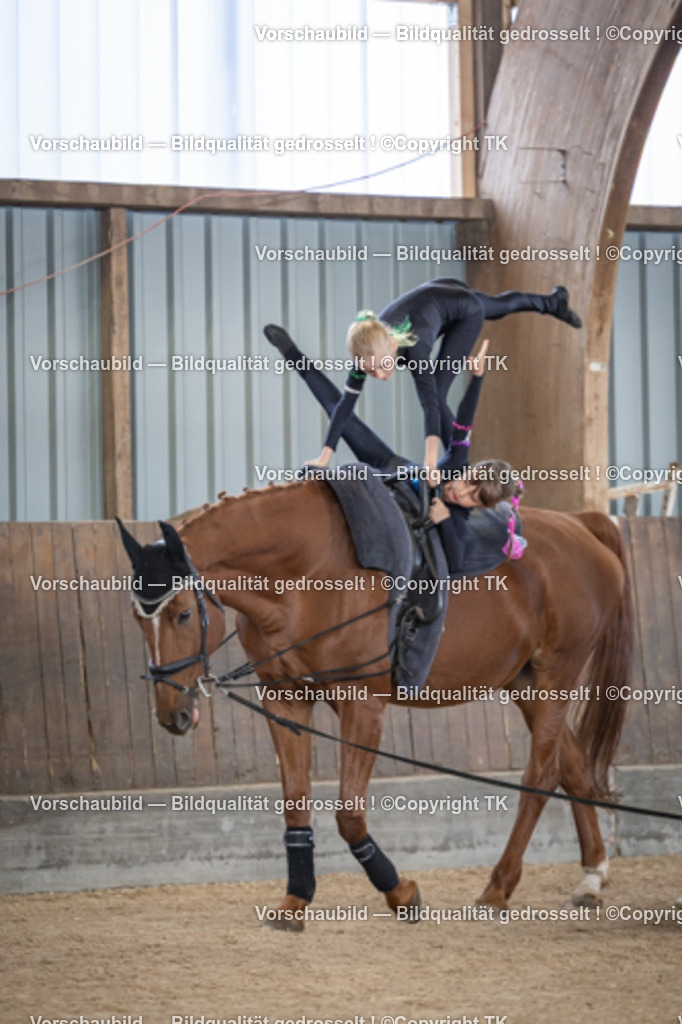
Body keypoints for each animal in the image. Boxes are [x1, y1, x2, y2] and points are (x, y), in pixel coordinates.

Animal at [117, 479, 633, 930]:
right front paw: (294, 902)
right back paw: (591, 877)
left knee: (541, 775)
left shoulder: (361, 705)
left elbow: (348, 815)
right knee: (571, 766)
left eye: (184, 613)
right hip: (524, 682)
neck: (308, 575)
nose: (172, 715)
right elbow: (296, 805)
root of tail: (581, 525)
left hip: (557, 674)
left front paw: (400, 893)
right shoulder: (286, 700)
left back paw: (497, 888)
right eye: (137, 620)